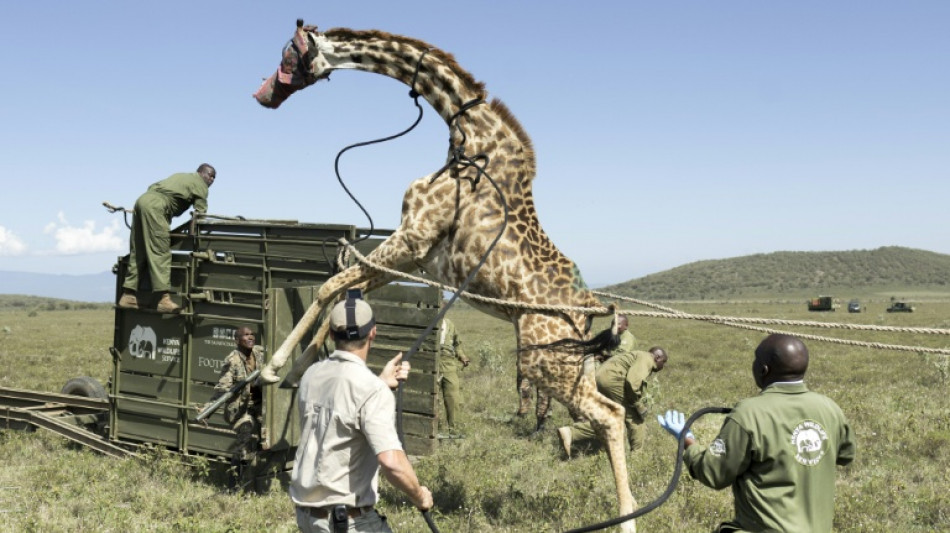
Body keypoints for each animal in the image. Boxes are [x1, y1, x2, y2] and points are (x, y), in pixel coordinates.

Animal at [254, 22, 638, 531]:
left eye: (287, 56)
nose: (262, 96)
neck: (467, 137)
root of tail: (592, 308)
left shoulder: (414, 237)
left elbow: (331, 286)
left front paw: (272, 367)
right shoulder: (417, 255)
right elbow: (343, 292)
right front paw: (301, 366)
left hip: (543, 360)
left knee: (611, 414)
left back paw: (628, 518)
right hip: (573, 361)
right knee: (606, 411)